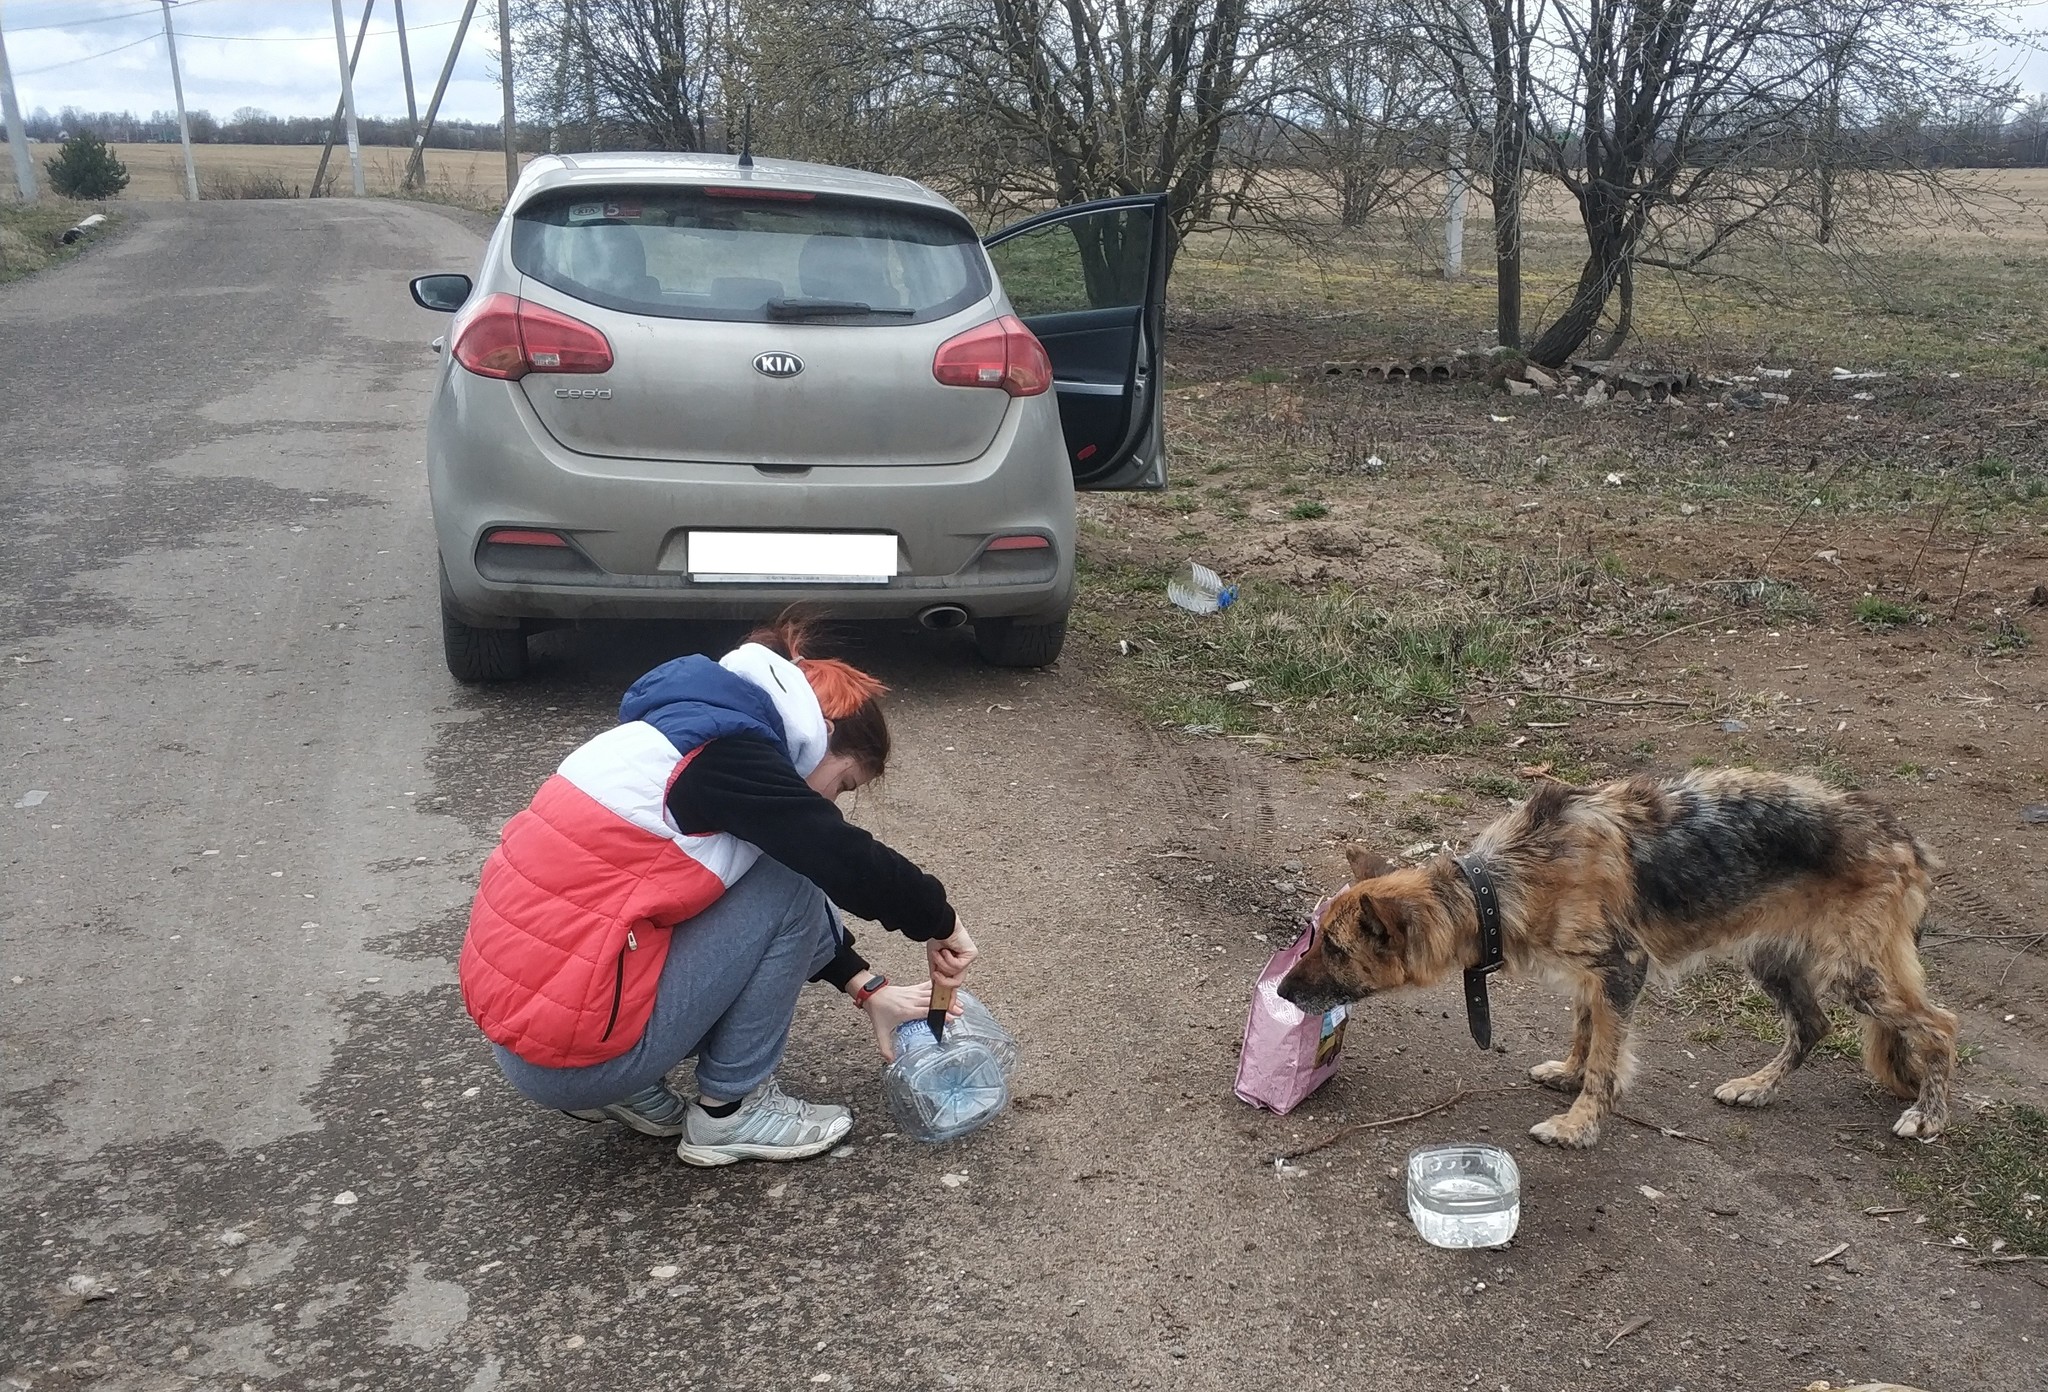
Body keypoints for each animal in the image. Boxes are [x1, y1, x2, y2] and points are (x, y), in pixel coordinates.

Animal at [1269, 765, 1957, 1146]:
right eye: (1314, 936)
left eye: (1335, 948)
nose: (1280, 992)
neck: (1494, 887)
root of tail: (1908, 841)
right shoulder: (1590, 976)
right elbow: (1584, 1033)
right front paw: (1570, 1074)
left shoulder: (1622, 971)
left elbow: (1606, 1060)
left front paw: (1578, 1125)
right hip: (1774, 962)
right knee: (1811, 1025)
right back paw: (1757, 1088)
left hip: (1859, 974)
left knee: (1940, 1028)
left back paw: (1928, 1117)